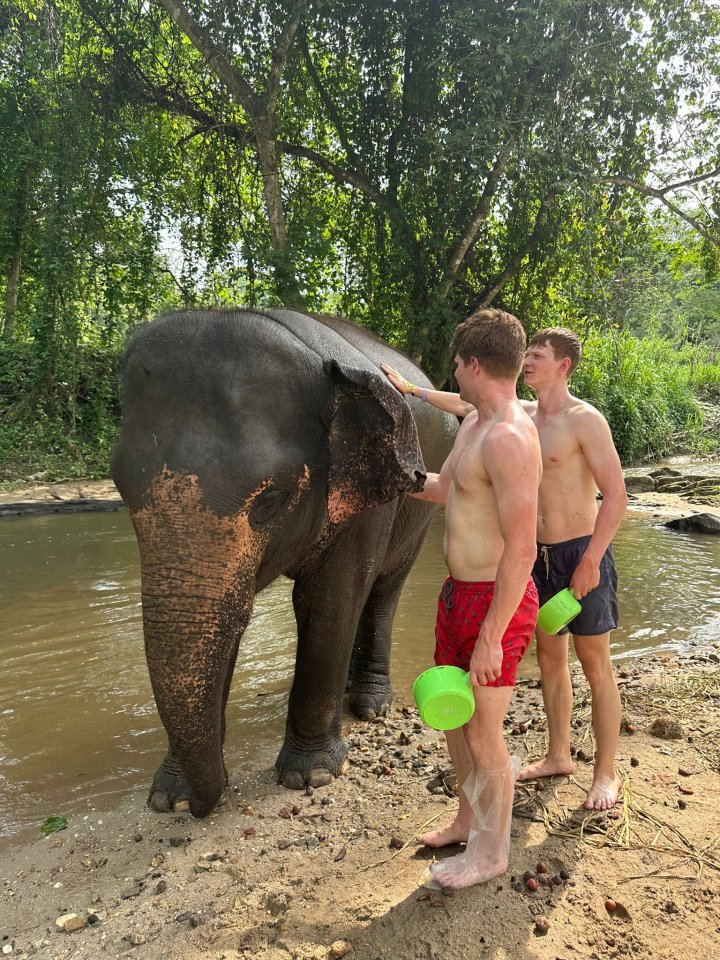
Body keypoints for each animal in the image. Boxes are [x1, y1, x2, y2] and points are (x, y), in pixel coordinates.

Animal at [110, 308, 456, 816]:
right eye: (121, 490)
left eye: (271, 499)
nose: (202, 805)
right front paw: (168, 799)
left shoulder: (370, 496)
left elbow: (328, 602)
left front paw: (309, 777)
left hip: (421, 509)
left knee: (383, 590)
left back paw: (370, 706)